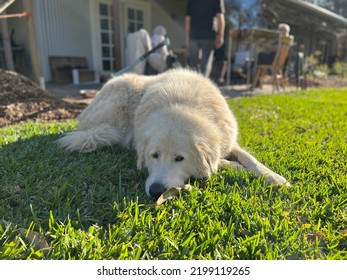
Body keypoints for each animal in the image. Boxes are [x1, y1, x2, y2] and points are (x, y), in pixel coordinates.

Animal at [57, 69, 290, 198]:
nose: (156, 191)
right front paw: (236, 167)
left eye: (179, 158)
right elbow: (225, 163)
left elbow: (250, 159)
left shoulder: (229, 140)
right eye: (154, 156)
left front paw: (275, 178)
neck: (184, 105)